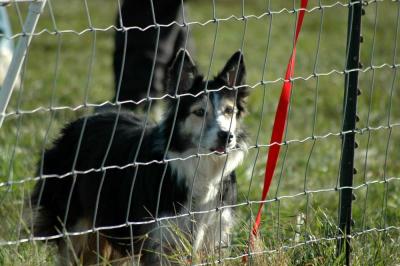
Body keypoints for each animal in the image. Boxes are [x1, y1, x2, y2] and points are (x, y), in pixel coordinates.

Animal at [26, 50, 248, 264]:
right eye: (199, 112)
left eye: (229, 111)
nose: (227, 136)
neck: (201, 167)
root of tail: (78, 123)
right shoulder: (158, 239)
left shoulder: (212, 235)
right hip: (75, 223)